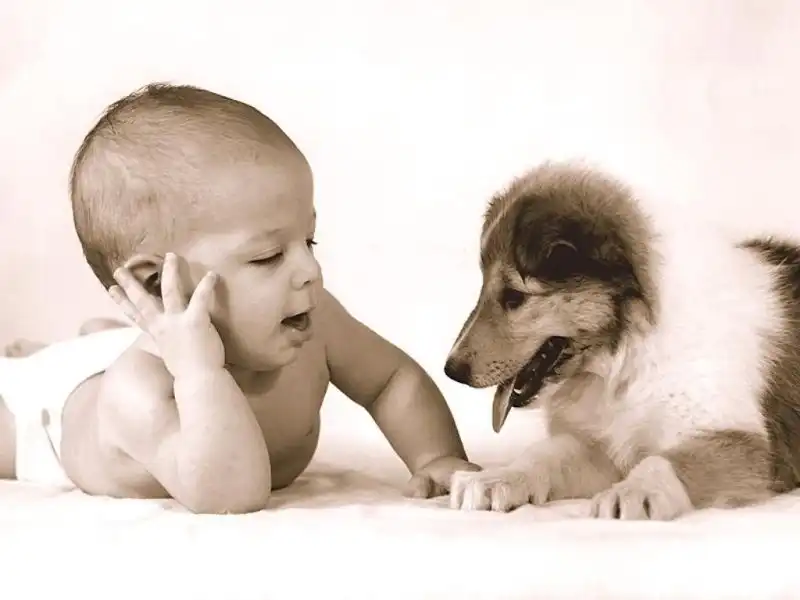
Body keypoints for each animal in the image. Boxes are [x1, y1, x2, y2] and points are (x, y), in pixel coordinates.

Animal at [443, 161, 800, 520]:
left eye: (514, 296)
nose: (451, 371)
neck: (625, 355)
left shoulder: (736, 437)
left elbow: (663, 461)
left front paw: (633, 492)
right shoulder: (600, 445)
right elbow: (544, 455)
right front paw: (496, 478)